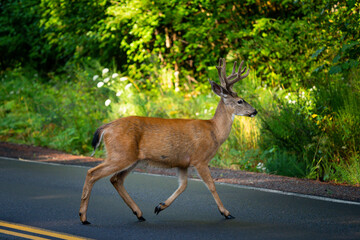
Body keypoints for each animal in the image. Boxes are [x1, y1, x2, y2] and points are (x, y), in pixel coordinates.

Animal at [80, 57, 258, 223]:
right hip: (121, 154)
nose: (255, 111)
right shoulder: (200, 159)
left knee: (116, 179)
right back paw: (83, 217)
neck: (214, 131)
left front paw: (160, 206)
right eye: (240, 100)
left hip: (132, 158)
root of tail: (106, 127)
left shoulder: (183, 163)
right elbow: (211, 185)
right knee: (92, 173)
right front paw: (226, 213)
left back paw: (139, 214)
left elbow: (183, 186)